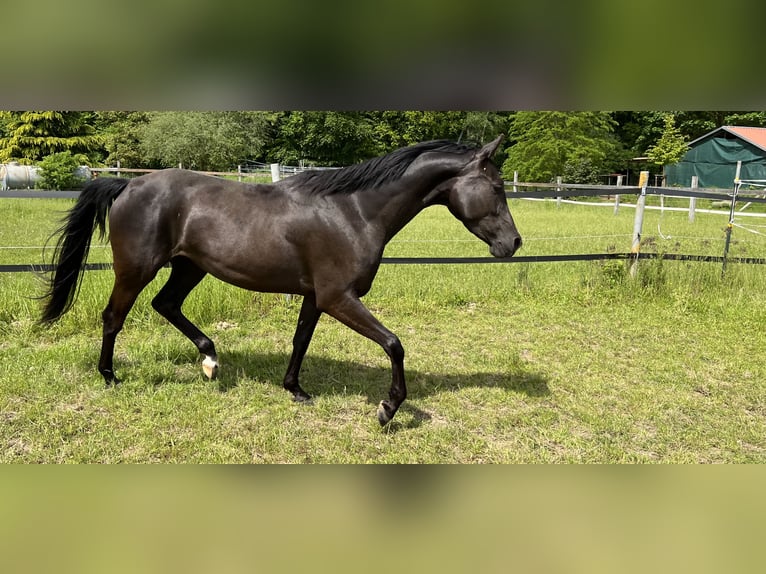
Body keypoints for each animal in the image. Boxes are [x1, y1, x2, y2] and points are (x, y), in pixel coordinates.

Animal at [40, 136, 520, 428]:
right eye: (497, 187)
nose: (513, 243)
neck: (354, 212)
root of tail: (126, 186)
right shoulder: (338, 297)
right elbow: (394, 343)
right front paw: (388, 410)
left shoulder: (315, 296)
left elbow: (301, 340)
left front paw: (296, 390)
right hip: (136, 269)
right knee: (113, 316)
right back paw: (110, 376)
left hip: (189, 267)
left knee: (167, 305)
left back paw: (211, 361)